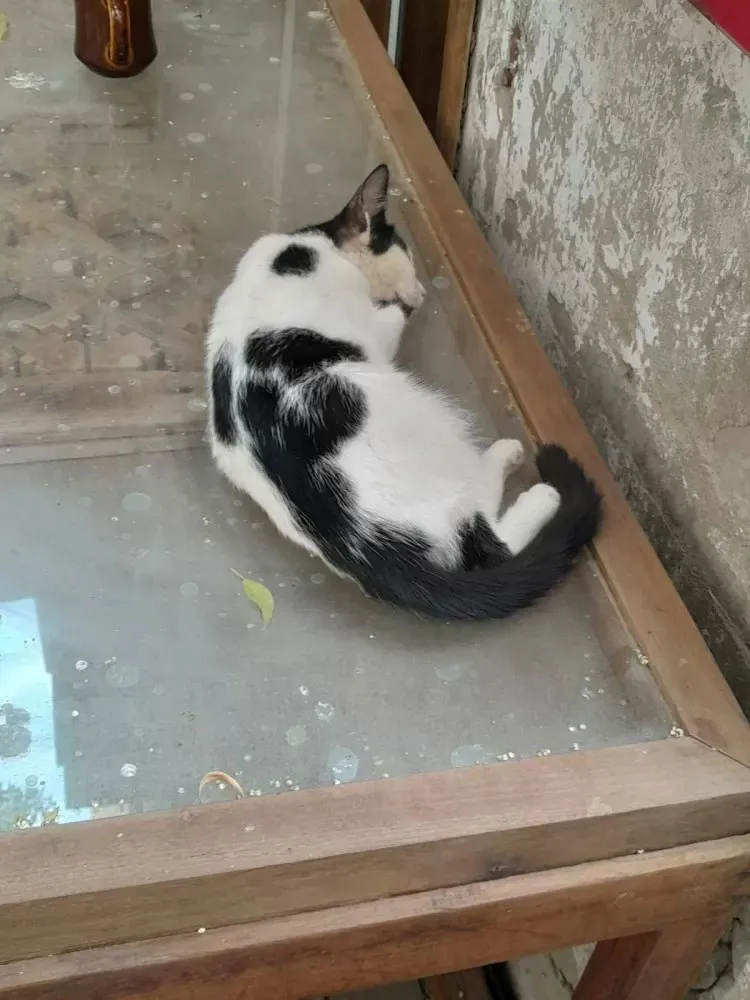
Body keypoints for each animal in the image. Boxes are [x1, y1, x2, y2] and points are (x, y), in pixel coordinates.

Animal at [207, 162, 604, 616]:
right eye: (409, 262)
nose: (422, 290)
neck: (309, 247)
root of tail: (376, 555)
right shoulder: (373, 329)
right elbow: (392, 317)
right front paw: (403, 305)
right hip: (426, 416)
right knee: (489, 534)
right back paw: (528, 476)